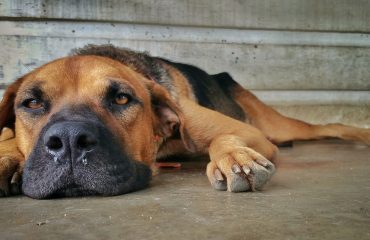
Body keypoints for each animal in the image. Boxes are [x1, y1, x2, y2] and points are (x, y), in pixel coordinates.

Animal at [0, 45, 370, 199]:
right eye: (32, 103)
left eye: (121, 98)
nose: (69, 141)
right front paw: (8, 158)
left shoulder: (250, 133)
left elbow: (225, 139)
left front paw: (234, 157)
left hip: (275, 126)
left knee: (330, 128)